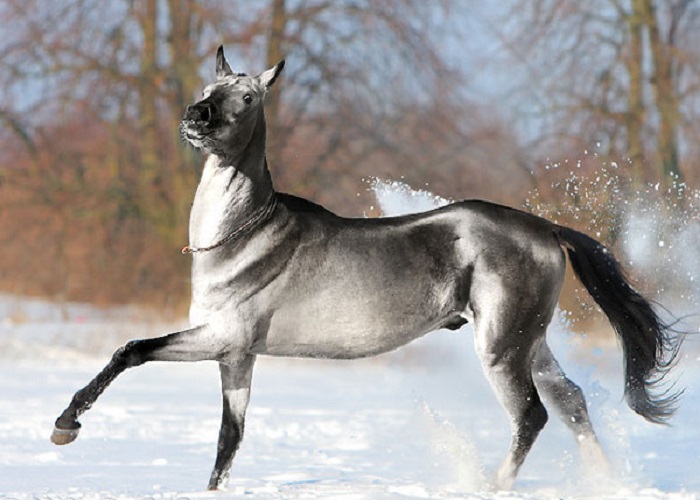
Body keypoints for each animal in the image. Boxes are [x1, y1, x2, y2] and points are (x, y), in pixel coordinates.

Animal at [50, 45, 684, 490]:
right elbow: (229, 439)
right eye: (208, 87)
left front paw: (66, 424)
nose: (197, 115)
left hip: (502, 347)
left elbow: (132, 351)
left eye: (248, 98)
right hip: (531, 341)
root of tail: (546, 229)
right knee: (571, 402)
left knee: (531, 416)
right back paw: (604, 481)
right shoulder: (237, 355)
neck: (241, 237)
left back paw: (491, 485)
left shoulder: (222, 336)